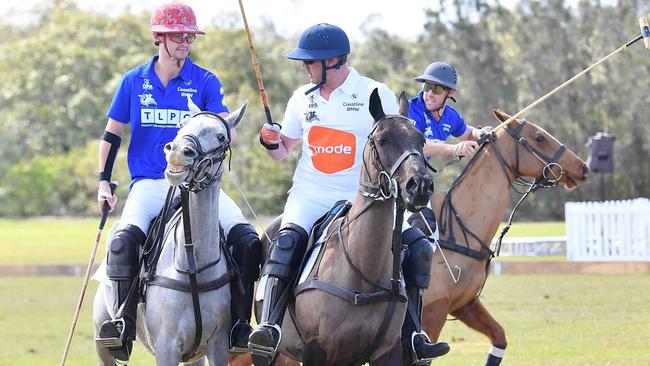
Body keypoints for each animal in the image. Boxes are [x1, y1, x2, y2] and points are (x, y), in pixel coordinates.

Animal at [93, 100, 248, 366]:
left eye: (220, 136)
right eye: (182, 125)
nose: (177, 151)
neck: (194, 266)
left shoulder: (217, 345)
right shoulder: (167, 346)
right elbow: (112, 133)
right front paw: (105, 193)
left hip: (195, 355)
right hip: (101, 342)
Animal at [251, 89, 432, 366]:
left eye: (421, 141)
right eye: (383, 140)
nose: (420, 185)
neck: (362, 276)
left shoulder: (388, 352)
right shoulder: (315, 350)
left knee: (422, 249)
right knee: (288, 241)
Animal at [416, 109, 588, 366]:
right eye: (539, 137)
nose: (583, 167)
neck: (456, 229)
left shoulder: (464, 303)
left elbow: (499, 336)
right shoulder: (432, 312)